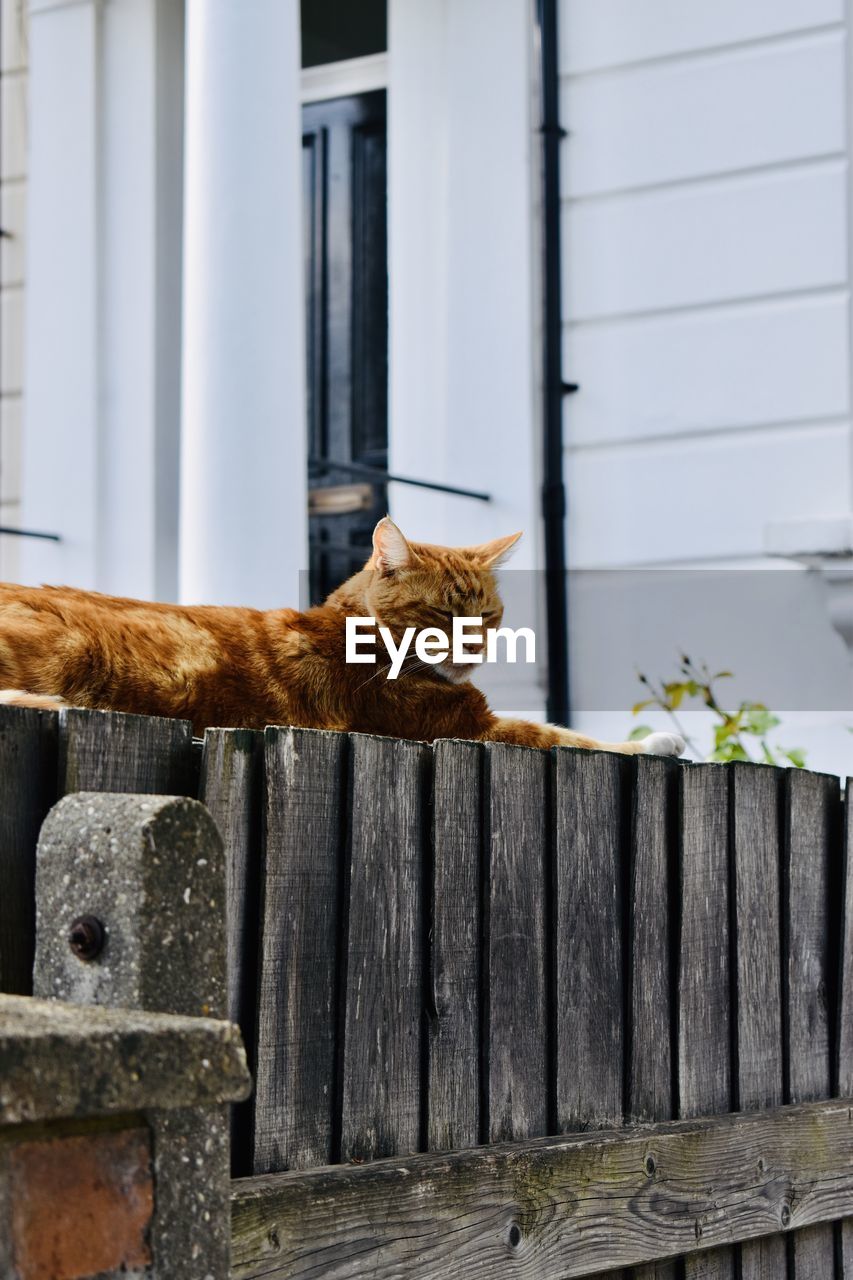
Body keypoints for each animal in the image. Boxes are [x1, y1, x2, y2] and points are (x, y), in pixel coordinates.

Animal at [0, 517, 681, 757]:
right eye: (440, 614)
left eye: (488, 615)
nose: (476, 648)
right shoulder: (464, 727)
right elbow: (566, 736)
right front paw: (657, 742)